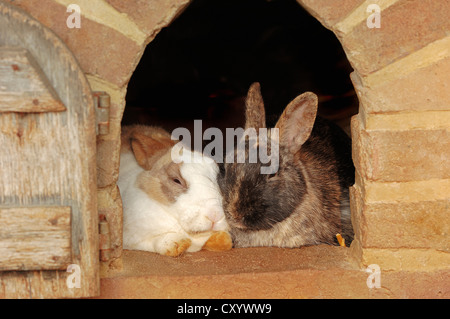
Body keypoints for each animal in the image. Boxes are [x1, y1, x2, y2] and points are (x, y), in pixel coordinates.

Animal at [118, 125, 232, 258]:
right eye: (176, 180)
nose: (216, 215)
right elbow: (152, 243)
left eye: (219, 178)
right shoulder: (130, 238)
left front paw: (223, 239)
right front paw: (177, 244)